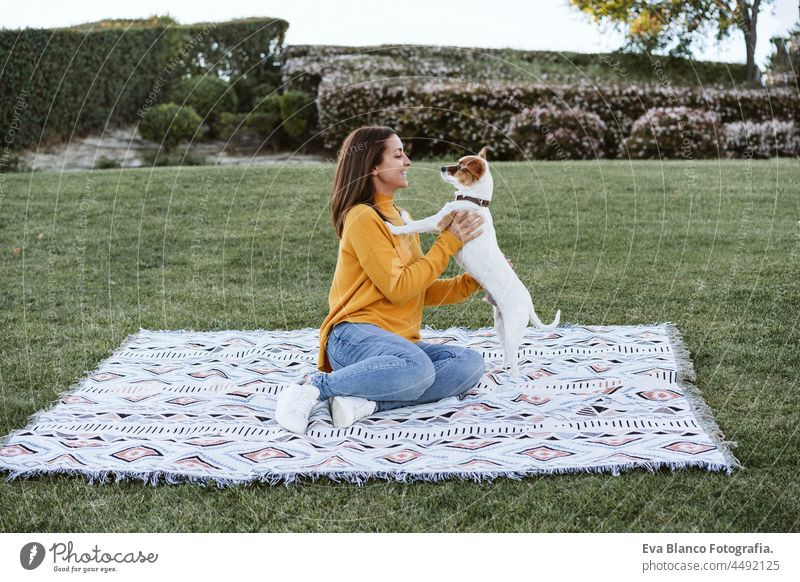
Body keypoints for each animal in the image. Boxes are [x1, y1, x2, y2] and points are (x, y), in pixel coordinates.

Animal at [384, 147, 560, 378]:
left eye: (460, 167)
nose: (442, 167)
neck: (474, 200)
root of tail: (528, 302)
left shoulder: (438, 222)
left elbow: (416, 224)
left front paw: (395, 227)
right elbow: (413, 221)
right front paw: (403, 214)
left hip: (512, 328)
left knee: (515, 360)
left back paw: (512, 381)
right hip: (500, 324)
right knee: (506, 352)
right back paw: (500, 369)